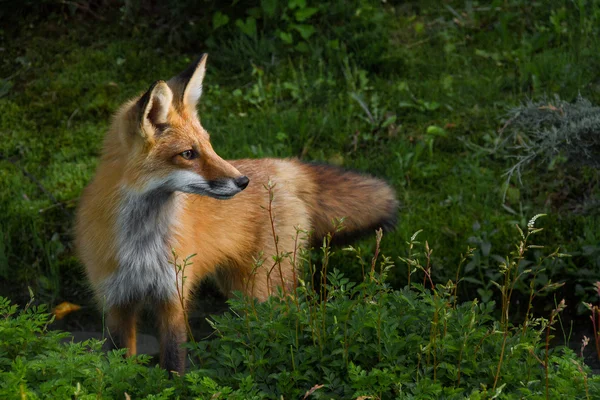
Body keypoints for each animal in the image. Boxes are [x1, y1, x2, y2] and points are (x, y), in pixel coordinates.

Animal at [74, 54, 398, 376]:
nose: (243, 181)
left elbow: (174, 365)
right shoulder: (115, 303)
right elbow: (118, 363)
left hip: (261, 289)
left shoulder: (174, 297)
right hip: (239, 287)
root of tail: (283, 166)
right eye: (188, 154)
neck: (142, 245)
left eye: (209, 145)